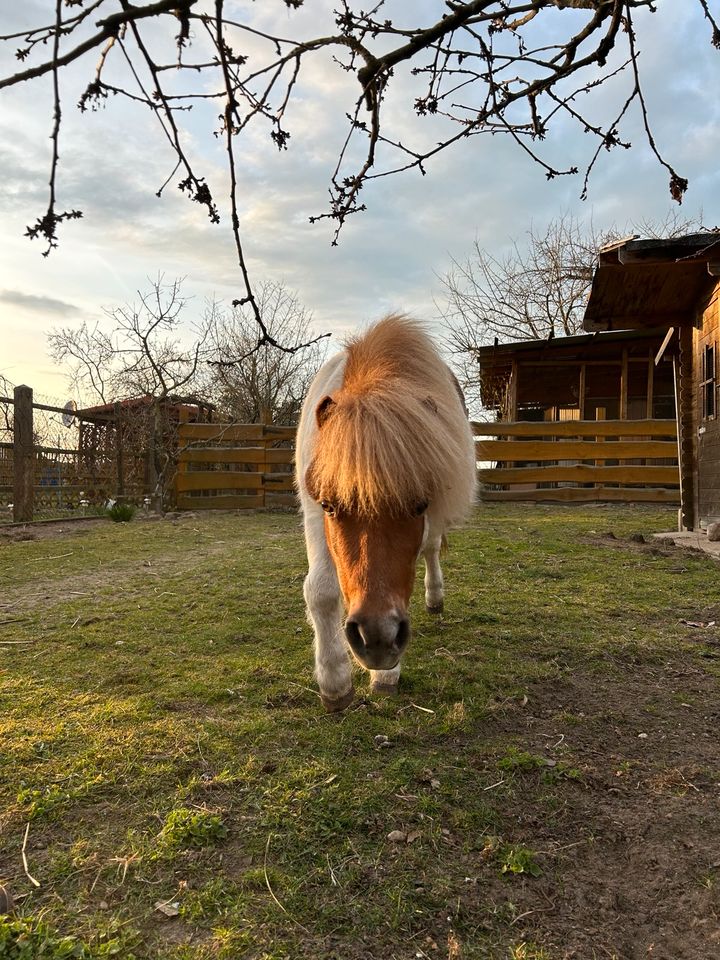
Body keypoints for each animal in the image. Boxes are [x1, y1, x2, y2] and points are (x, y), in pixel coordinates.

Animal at [296, 316, 476, 712]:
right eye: (330, 505)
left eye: (419, 504)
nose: (376, 640)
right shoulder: (313, 511)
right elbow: (321, 590)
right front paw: (335, 682)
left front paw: (385, 676)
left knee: (432, 550)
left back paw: (435, 598)